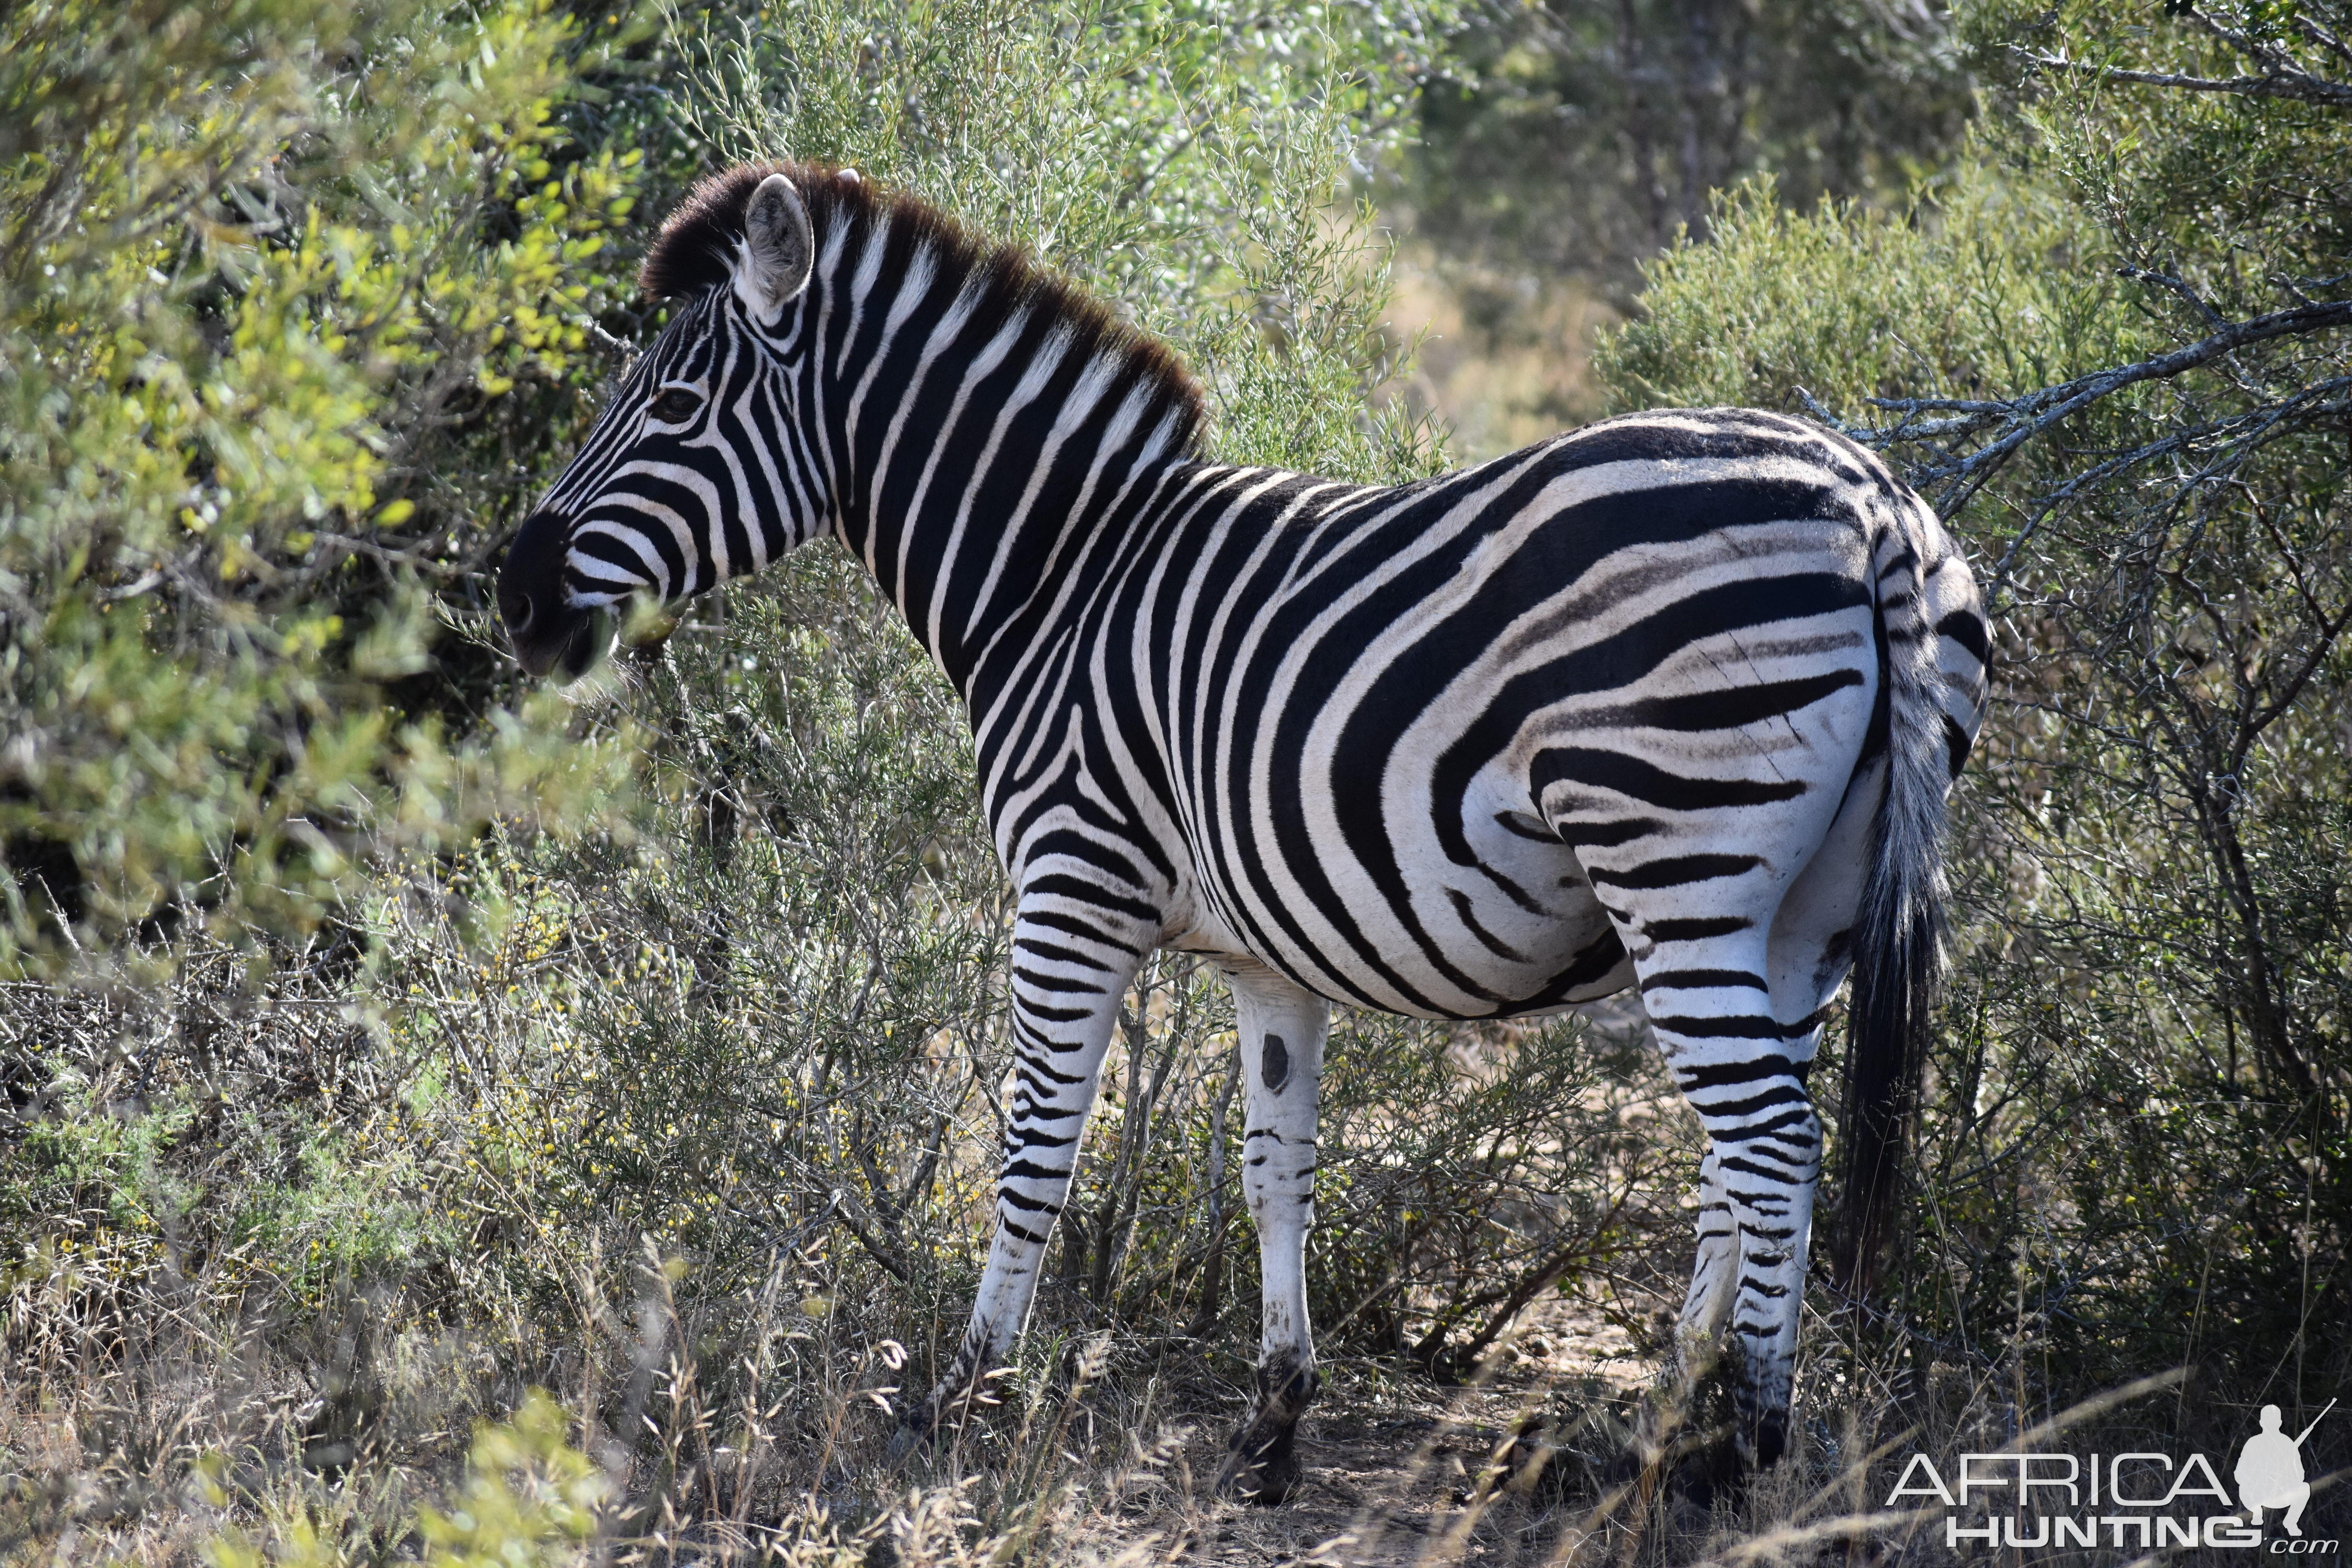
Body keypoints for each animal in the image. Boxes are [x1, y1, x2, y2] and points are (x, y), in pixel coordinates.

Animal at [496, 166, 1985, 1504]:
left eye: (673, 407)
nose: (510, 595)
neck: (1054, 578)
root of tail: (1873, 504)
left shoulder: (1071, 883)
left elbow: (1033, 1144)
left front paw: (961, 1396)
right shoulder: (1264, 956)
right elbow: (1279, 1171)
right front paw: (1271, 1425)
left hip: (1671, 858)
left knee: (1768, 1145)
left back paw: (1737, 1452)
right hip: (1800, 914)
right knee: (1742, 1161)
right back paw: (1658, 1431)